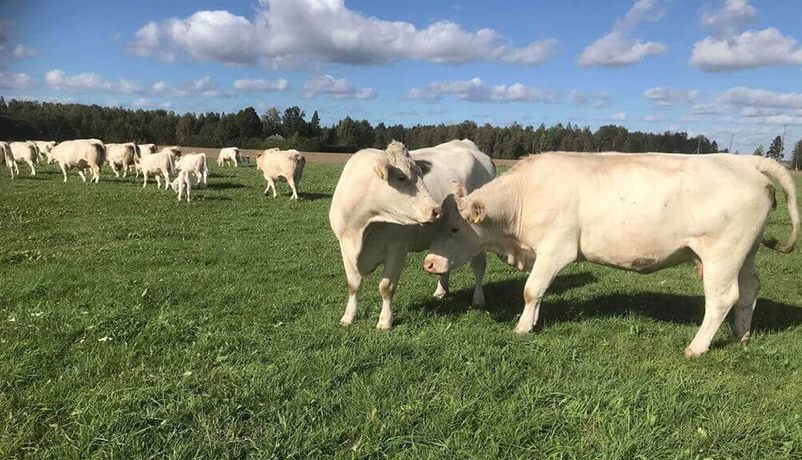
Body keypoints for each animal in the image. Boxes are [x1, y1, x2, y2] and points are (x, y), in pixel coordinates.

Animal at [330, 140, 495, 330]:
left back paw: (478, 299)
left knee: (479, 267)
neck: (362, 225)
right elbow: (353, 285)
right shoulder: (345, 245)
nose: (437, 210)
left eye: (421, 176)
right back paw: (441, 291)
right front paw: (348, 317)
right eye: (401, 177)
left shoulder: (397, 248)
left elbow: (386, 287)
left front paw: (385, 321)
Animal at [423, 152, 800, 358]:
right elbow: (538, 293)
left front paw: (522, 327)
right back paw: (741, 334)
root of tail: (743, 161)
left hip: (722, 254)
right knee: (750, 290)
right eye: (438, 226)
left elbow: (531, 290)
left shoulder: (555, 249)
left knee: (722, 299)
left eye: (455, 229)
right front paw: (532, 321)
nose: (429, 262)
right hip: (745, 253)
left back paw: (697, 347)